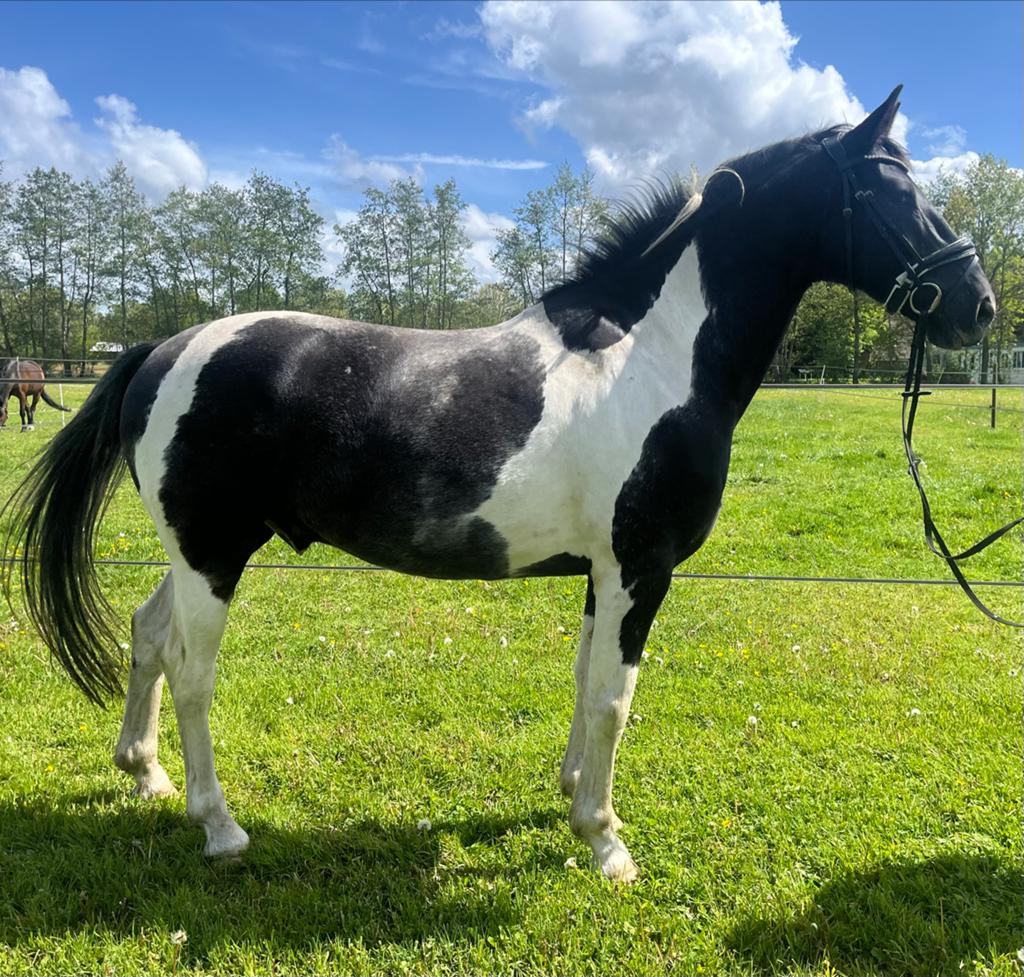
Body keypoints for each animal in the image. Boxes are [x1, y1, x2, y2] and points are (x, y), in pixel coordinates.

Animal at [2, 88, 995, 881]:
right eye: (891, 188)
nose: (979, 304)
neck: (654, 356)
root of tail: (162, 351)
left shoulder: (602, 573)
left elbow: (586, 684)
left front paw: (574, 799)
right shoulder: (641, 569)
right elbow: (615, 699)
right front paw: (606, 843)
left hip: (196, 549)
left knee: (145, 635)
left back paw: (146, 773)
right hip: (214, 552)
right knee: (191, 668)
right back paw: (219, 825)